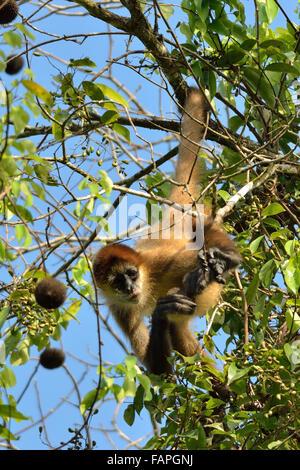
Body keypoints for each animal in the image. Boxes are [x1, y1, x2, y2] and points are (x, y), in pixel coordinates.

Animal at [92, 87, 240, 374]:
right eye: (118, 282)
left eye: (131, 274)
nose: (130, 287)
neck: (147, 281)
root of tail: (170, 216)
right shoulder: (119, 307)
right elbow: (157, 368)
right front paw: (161, 313)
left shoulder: (159, 263)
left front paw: (222, 261)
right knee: (179, 334)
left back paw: (227, 258)